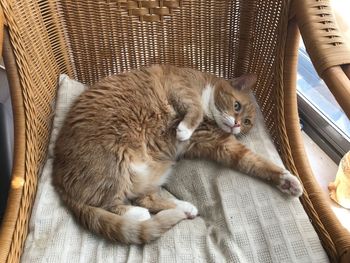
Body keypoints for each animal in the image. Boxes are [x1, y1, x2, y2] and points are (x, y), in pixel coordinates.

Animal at [52, 65, 304, 245]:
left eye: (248, 122)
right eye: (237, 106)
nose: (237, 125)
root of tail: (58, 178)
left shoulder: (223, 147)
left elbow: (259, 163)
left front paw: (287, 181)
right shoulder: (181, 87)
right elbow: (195, 107)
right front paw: (184, 129)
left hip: (153, 170)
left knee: (143, 198)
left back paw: (184, 208)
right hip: (114, 163)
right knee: (113, 204)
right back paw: (140, 214)